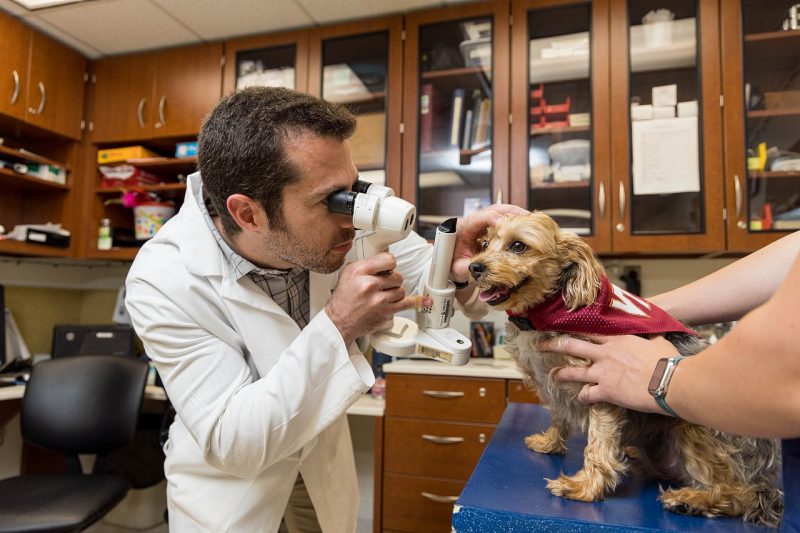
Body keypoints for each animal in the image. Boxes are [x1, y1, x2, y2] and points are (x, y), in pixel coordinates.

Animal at [466, 213, 784, 528]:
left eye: (518, 246)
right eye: (484, 243)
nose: (474, 266)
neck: (543, 311)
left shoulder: (599, 383)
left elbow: (598, 442)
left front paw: (586, 487)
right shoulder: (552, 383)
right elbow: (559, 414)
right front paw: (550, 442)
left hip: (694, 427)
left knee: (743, 495)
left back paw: (693, 500)